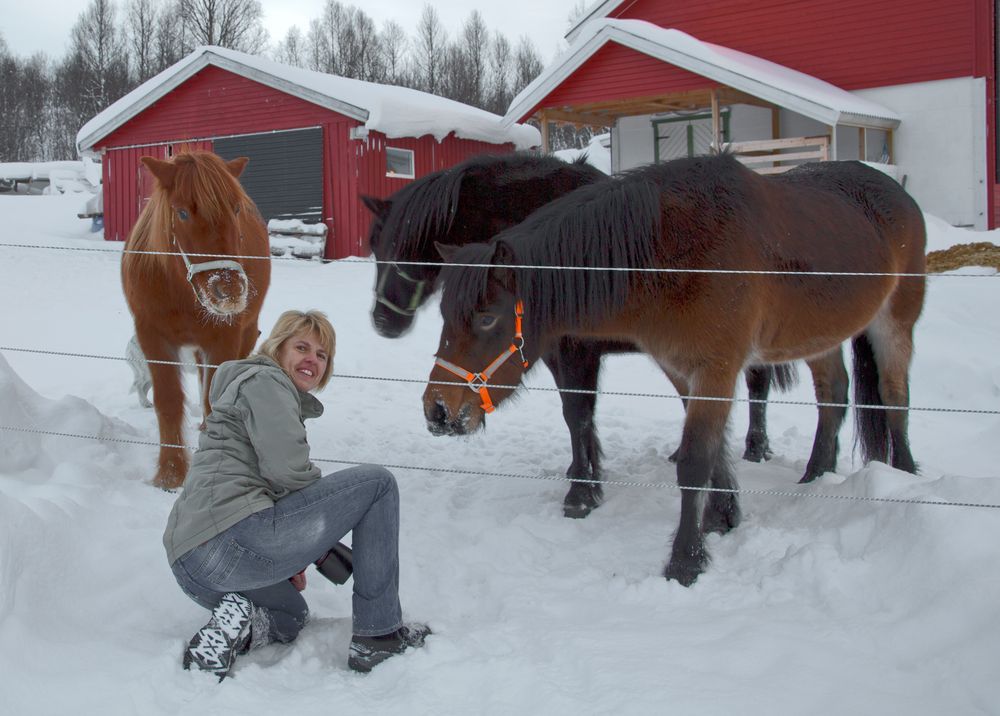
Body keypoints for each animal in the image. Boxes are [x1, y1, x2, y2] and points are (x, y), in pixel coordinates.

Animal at [120, 150, 270, 486]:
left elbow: (216, 400)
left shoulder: (224, 337)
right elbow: (168, 402)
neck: (179, 291)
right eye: (181, 213)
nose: (229, 291)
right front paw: (170, 475)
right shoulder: (153, 338)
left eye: (236, 208)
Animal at [422, 157, 920, 588]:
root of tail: (897, 190)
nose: (438, 409)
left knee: (895, 396)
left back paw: (907, 476)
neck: (673, 248)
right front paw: (722, 517)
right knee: (833, 393)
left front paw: (686, 561)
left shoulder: (715, 368)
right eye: (444, 315)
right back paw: (815, 477)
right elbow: (710, 451)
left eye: (488, 319)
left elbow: (694, 459)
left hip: (895, 322)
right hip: (819, 338)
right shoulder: (681, 370)